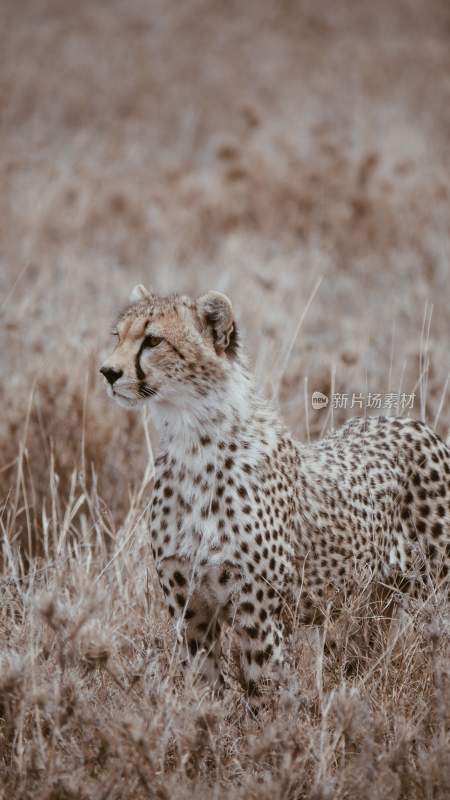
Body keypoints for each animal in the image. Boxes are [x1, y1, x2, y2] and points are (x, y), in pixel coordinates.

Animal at [101, 286, 450, 700]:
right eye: (118, 336)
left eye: (153, 340)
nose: (107, 372)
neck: (192, 441)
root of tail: (408, 421)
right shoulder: (192, 613)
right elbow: (203, 690)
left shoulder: (260, 614)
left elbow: (267, 693)